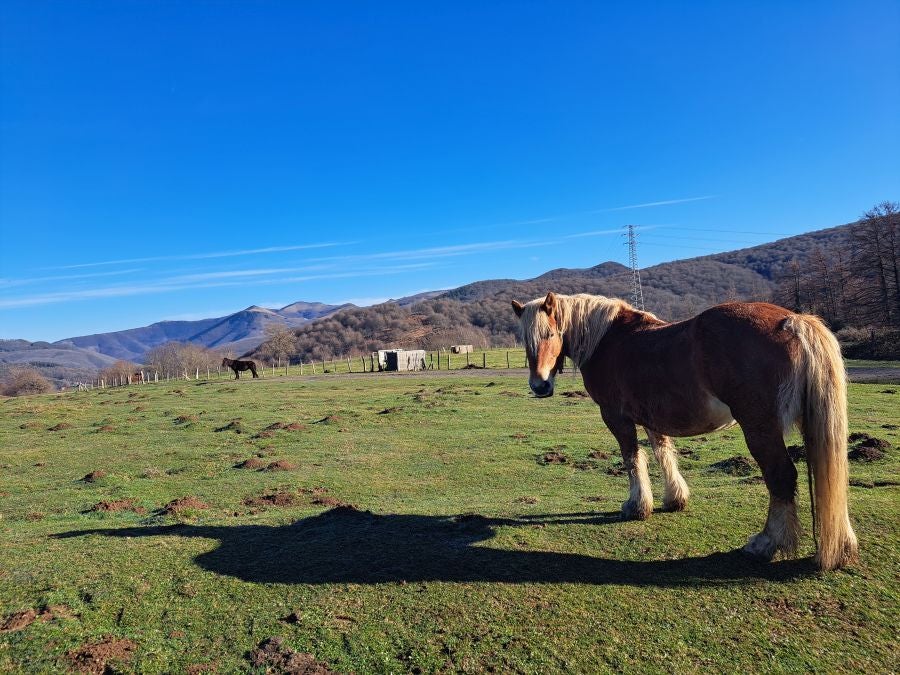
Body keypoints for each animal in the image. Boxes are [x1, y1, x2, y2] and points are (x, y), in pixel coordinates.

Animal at [512, 292, 856, 572]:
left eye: (551, 333)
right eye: (525, 340)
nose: (540, 386)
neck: (607, 339)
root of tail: (791, 321)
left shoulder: (616, 417)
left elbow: (632, 458)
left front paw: (637, 506)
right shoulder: (652, 417)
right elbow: (663, 452)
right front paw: (674, 498)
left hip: (760, 428)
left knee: (781, 476)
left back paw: (766, 543)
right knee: (830, 474)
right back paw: (841, 545)